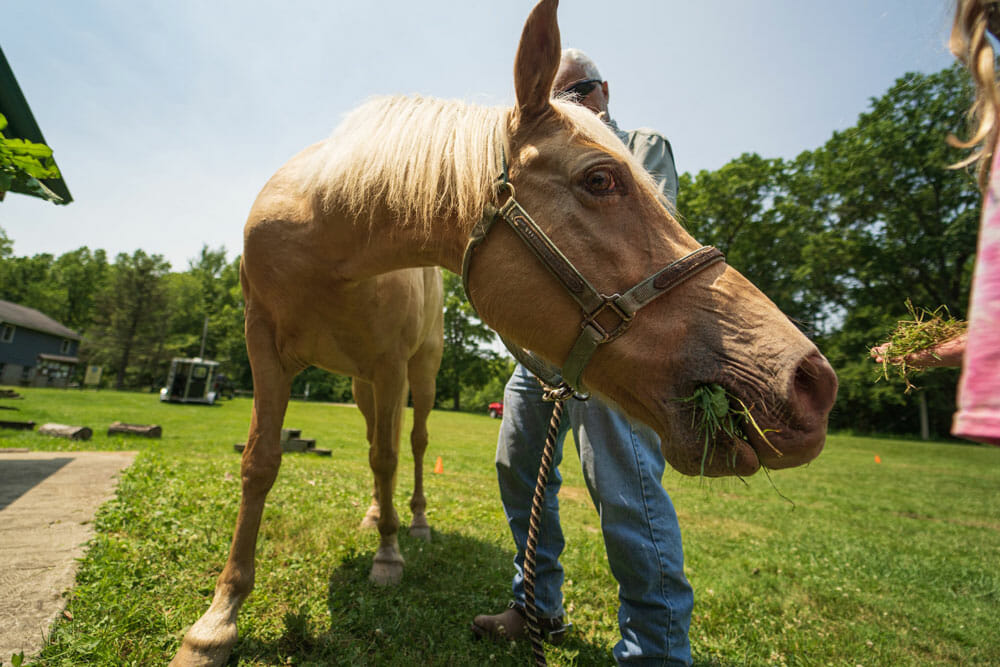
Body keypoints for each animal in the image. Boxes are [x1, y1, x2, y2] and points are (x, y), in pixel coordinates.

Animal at [172, 0, 836, 664]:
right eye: (600, 179)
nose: (811, 381)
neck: (326, 237)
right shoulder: (265, 348)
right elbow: (261, 462)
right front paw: (216, 622)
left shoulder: (390, 365)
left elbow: (389, 456)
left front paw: (389, 556)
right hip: (362, 384)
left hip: (417, 375)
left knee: (411, 444)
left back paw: (411, 523)